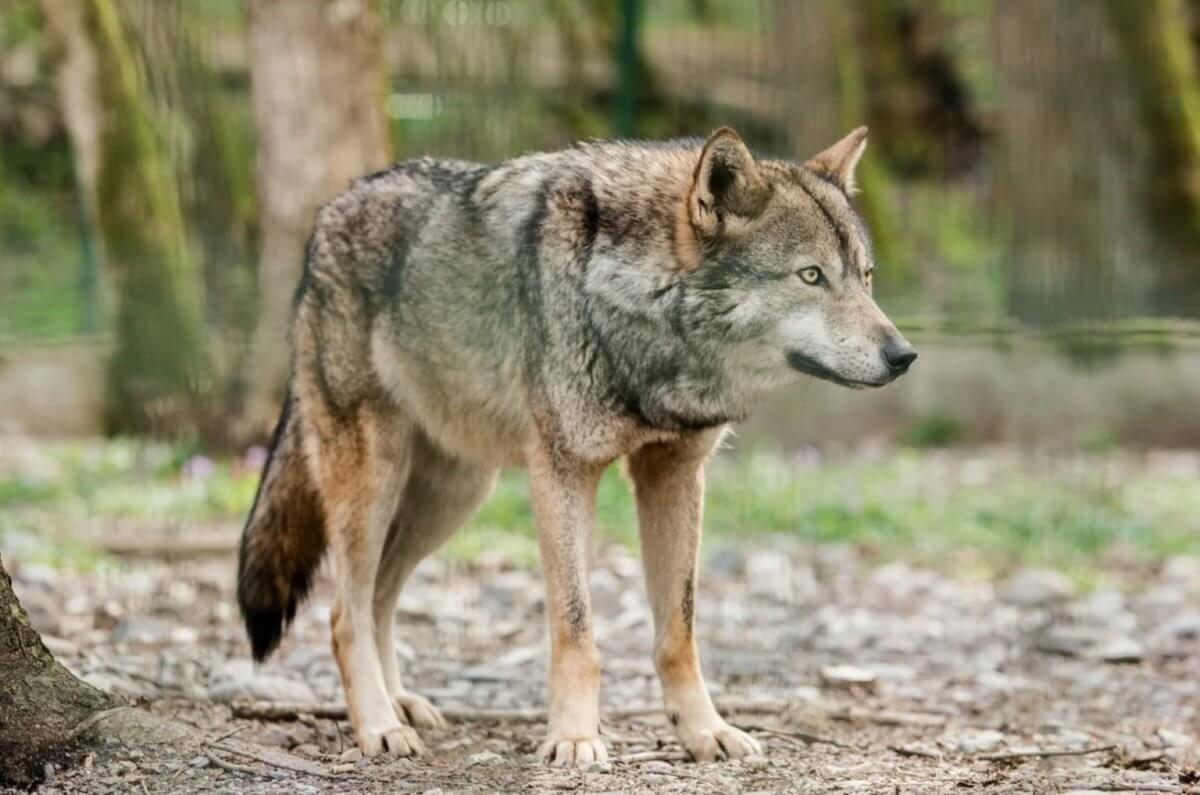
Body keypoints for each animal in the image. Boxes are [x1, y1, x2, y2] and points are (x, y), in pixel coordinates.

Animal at [236, 127, 916, 768]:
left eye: (866, 278)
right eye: (811, 276)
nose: (903, 355)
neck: (643, 311)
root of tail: (330, 211)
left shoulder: (674, 474)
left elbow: (679, 630)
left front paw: (704, 732)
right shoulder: (564, 473)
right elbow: (576, 628)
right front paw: (574, 739)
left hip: (455, 495)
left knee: (379, 595)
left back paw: (400, 703)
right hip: (375, 480)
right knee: (344, 611)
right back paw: (379, 725)